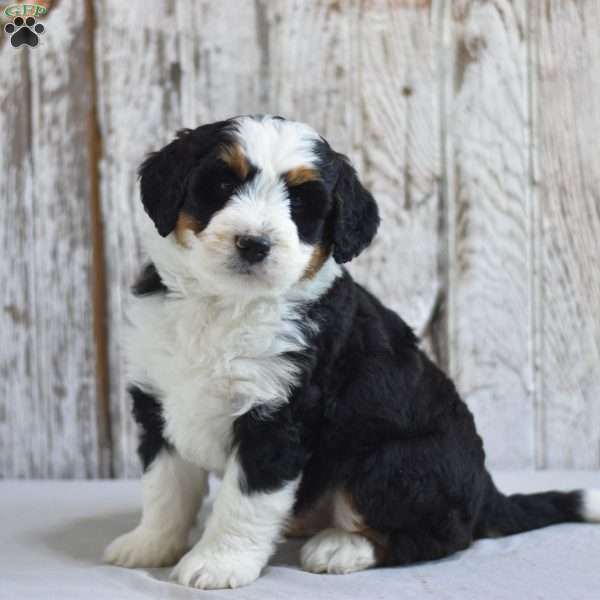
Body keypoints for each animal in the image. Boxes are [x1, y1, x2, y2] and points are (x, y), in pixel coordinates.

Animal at [104, 115, 600, 588]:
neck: (223, 306)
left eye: (302, 205)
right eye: (222, 185)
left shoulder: (277, 420)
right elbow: (165, 490)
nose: (253, 244)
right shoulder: (159, 403)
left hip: (392, 463)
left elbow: (242, 501)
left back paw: (341, 547)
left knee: (442, 535)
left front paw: (219, 562)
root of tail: (485, 490)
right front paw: (150, 544)